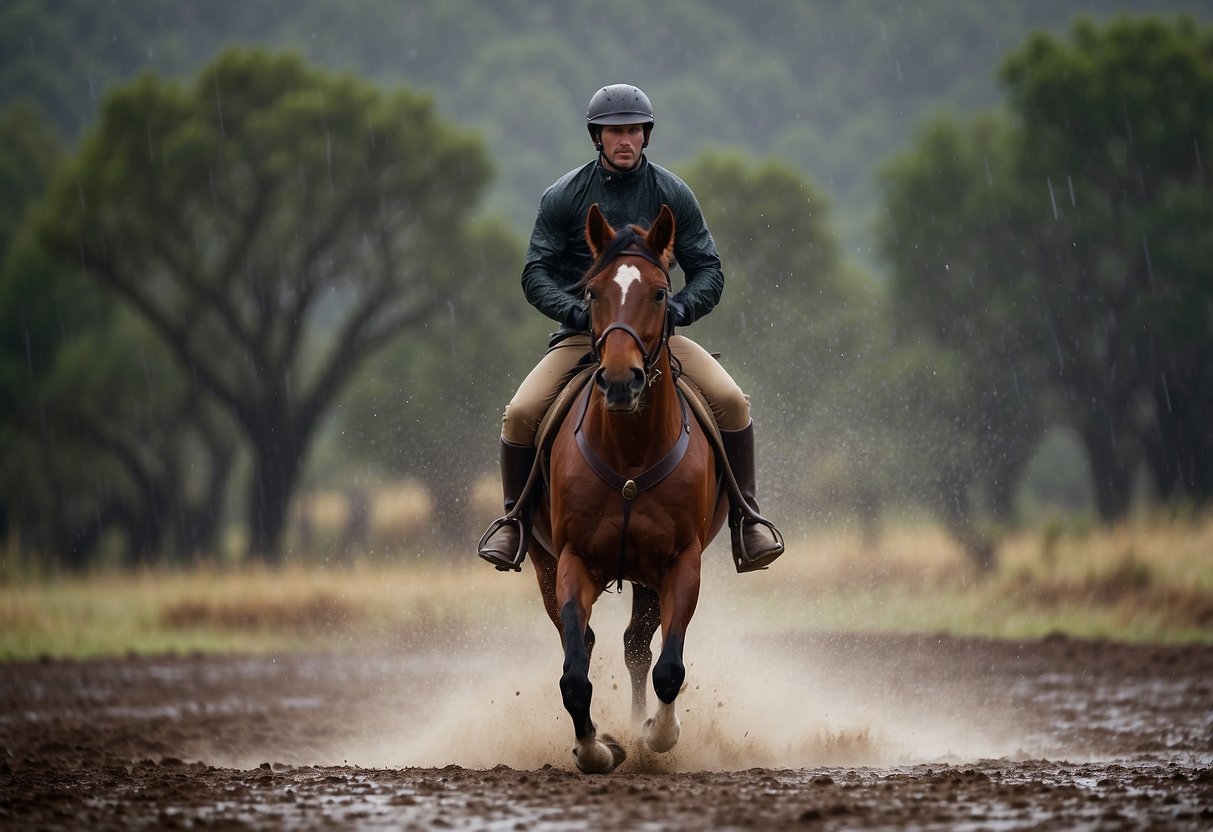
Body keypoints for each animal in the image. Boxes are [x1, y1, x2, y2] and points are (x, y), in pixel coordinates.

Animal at [526, 203, 722, 776]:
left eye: (660, 293)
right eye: (592, 293)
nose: (619, 381)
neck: (630, 455)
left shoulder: (681, 563)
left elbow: (669, 667)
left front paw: (655, 734)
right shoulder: (573, 560)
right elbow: (574, 674)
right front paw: (596, 749)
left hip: (647, 577)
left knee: (638, 646)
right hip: (547, 566)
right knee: (590, 643)